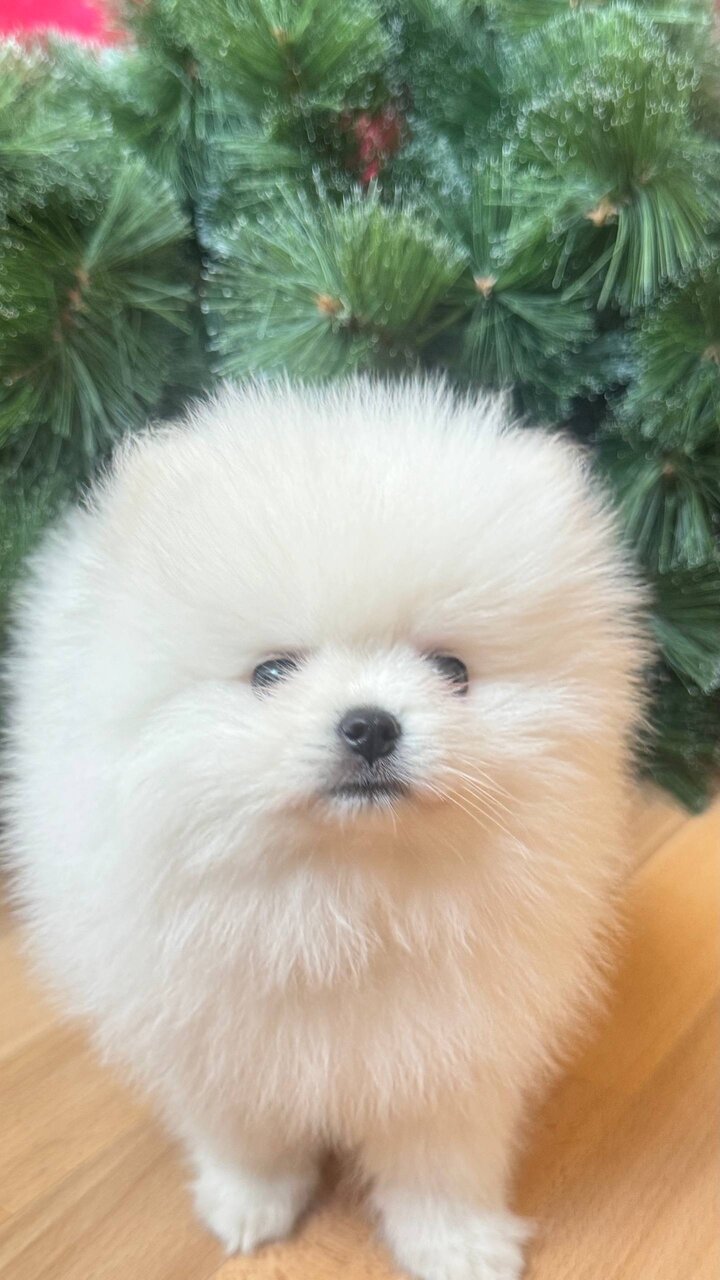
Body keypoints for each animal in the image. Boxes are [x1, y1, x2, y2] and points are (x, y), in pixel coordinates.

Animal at [3, 377, 645, 1279]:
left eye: (452, 670)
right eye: (272, 671)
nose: (370, 725)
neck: (341, 894)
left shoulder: (453, 1042)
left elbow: (441, 1162)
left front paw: (457, 1243)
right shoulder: (211, 1030)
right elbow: (245, 1136)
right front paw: (249, 1204)